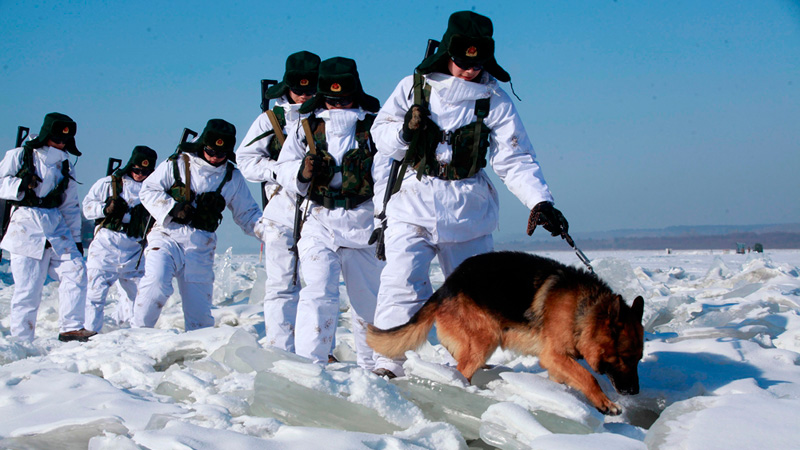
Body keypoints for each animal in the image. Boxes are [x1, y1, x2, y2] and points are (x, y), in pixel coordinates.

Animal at [368, 251, 644, 414]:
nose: (635, 392)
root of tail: (446, 286)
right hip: (485, 339)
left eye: (639, 359)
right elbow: (589, 377)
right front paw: (605, 404)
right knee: (461, 370)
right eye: (625, 357)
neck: (586, 312)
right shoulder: (553, 355)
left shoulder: (558, 363)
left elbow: (569, 379)